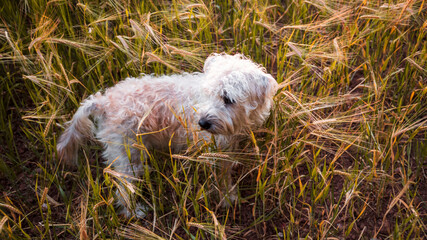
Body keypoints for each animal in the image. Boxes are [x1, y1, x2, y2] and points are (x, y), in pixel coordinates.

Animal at [56, 53, 278, 218]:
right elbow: (222, 178)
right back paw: (134, 212)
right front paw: (227, 197)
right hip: (128, 154)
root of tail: (103, 102)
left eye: (228, 99)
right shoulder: (215, 152)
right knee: (123, 189)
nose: (202, 123)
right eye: (208, 93)